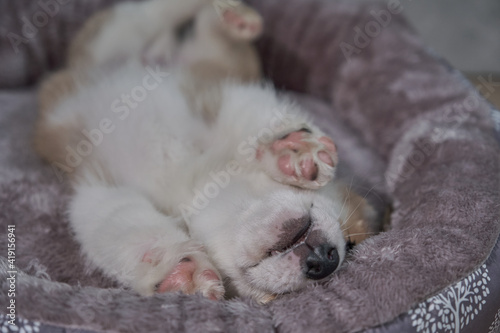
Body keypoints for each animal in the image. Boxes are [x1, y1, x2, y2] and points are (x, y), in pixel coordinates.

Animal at [34, 0, 376, 302]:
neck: (196, 187)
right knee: (158, 13)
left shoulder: (99, 193)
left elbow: (127, 227)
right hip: (117, 39)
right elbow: (254, 115)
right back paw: (234, 17)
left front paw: (180, 273)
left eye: (351, 246)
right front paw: (293, 148)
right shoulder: (217, 96)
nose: (328, 259)